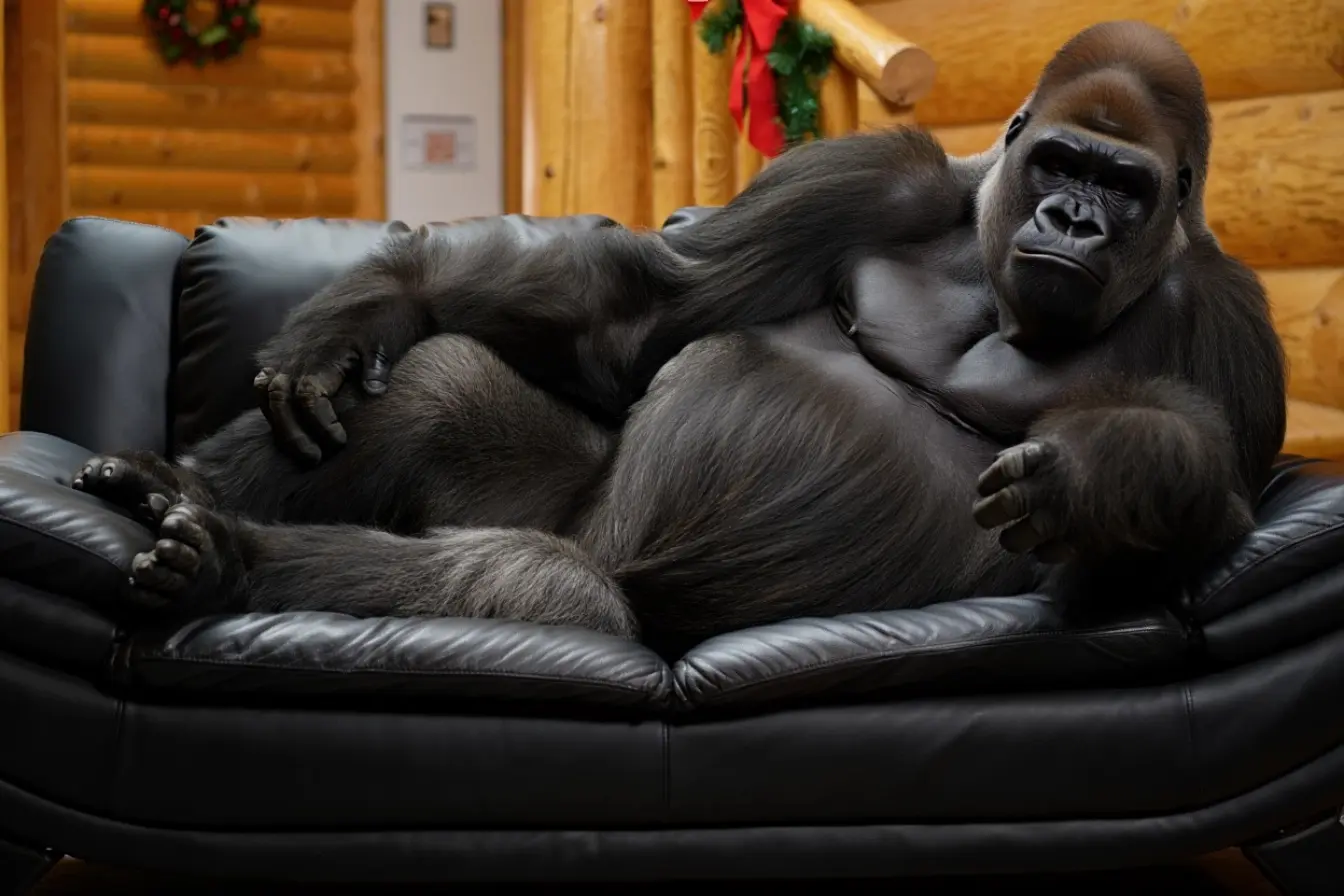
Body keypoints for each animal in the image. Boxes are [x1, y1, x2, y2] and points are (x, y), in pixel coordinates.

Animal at [73, 21, 1285, 657]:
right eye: (1061, 163)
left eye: (1122, 186)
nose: (1073, 221)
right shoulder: (869, 176)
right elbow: (652, 314)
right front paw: (379, 297)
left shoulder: (1228, 317)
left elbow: (1213, 513)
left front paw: (1091, 474)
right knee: (441, 388)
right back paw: (174, 488)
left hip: (603, 571)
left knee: (543, 584)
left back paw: (227, 558)